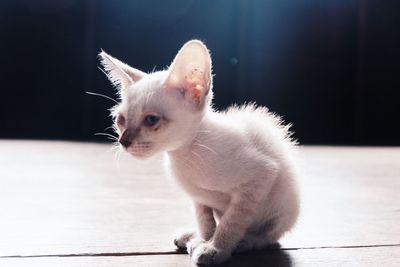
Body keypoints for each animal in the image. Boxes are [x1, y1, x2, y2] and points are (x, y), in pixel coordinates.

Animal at [99, 39, 300, 266]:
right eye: (120, 120)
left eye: (151, 120)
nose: (123, 141)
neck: (186, 153)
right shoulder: (198, 196)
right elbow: (205, 220)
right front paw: (203, 239)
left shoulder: (261, 175)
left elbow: (232, 222)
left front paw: (216, 248)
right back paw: (190, 236)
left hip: (282, 206)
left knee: (269, 237)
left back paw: (245, 241)